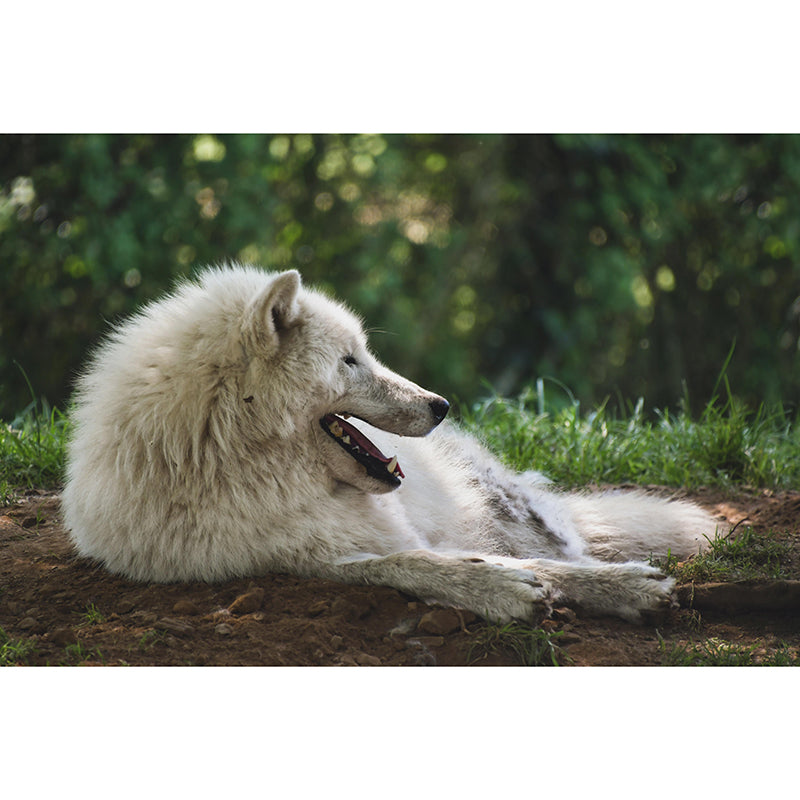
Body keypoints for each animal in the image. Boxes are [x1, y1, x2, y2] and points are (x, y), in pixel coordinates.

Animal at [63, 265, 722, 624]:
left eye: (365, 351)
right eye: (350, 361)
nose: (441, 405)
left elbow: (529, 564)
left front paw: (624, 586)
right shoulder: (294, 559)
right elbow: (410, 566)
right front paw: (500, 590)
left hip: (507, 506)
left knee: (565, 545)